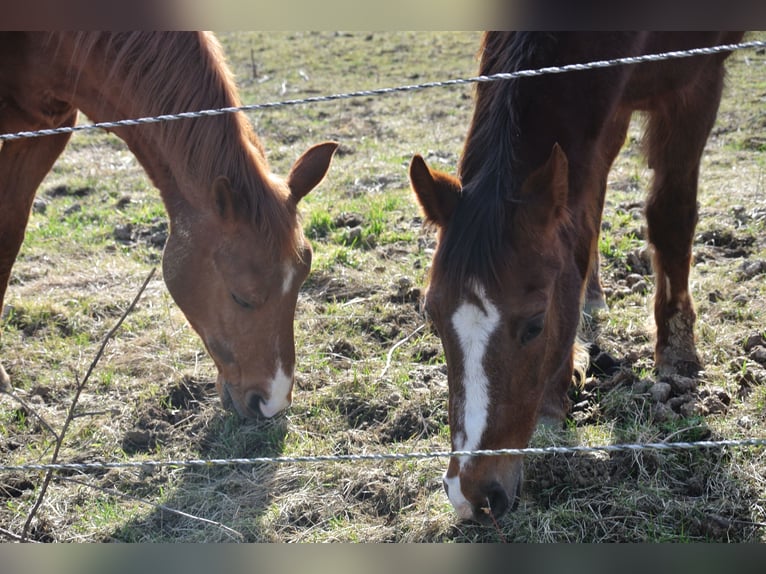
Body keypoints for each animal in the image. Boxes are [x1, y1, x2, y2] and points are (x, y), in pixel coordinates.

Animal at [412, 32, 748, 528]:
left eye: (535, 324)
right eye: (433, 316)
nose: (471, 495)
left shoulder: (697, 83)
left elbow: (670, 215)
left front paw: (677, 353)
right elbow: (582, 216)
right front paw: (559, 388)